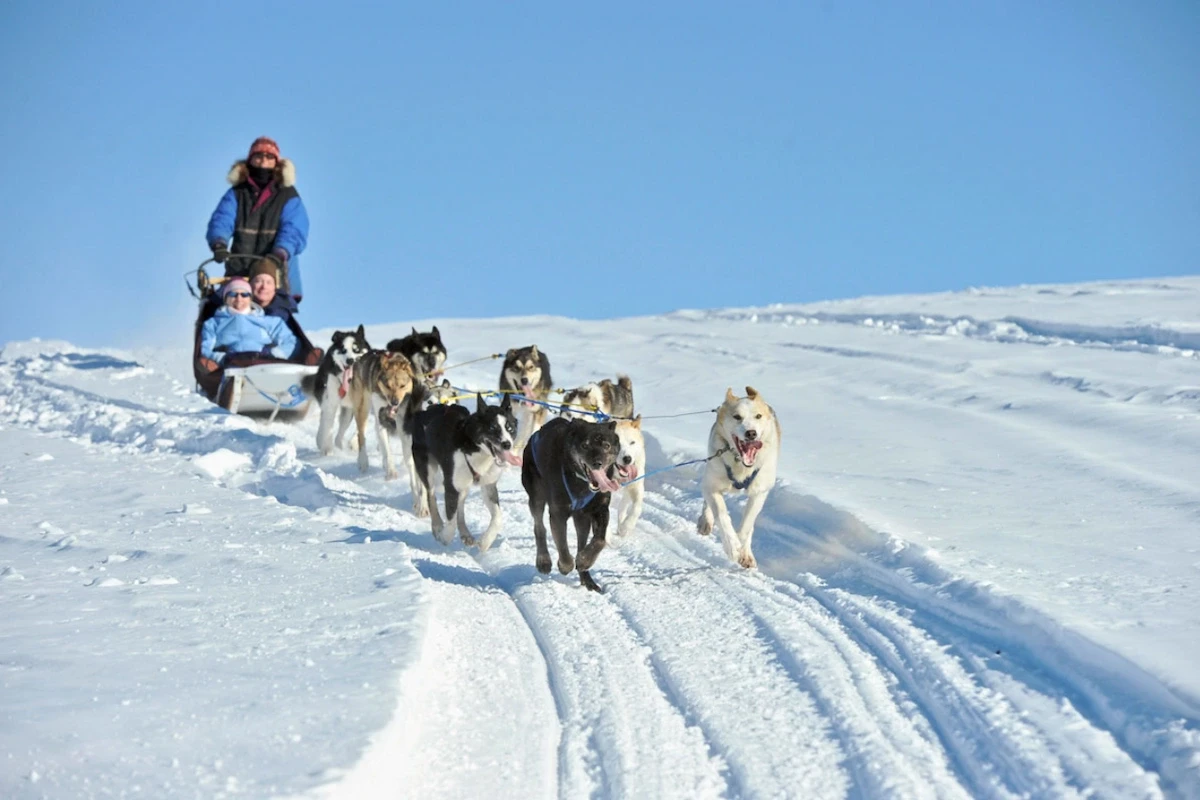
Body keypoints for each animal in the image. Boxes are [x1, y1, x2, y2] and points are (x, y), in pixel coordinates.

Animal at [700, 388, 782, 568]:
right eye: (737, 416)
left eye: (758, 416)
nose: (751, 433)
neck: (740, 465)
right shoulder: (714, 486)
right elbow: (721, 515)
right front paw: (732, 546)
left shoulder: (759, 492)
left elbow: (747, 525)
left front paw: (742, 550)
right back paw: (705, 521)